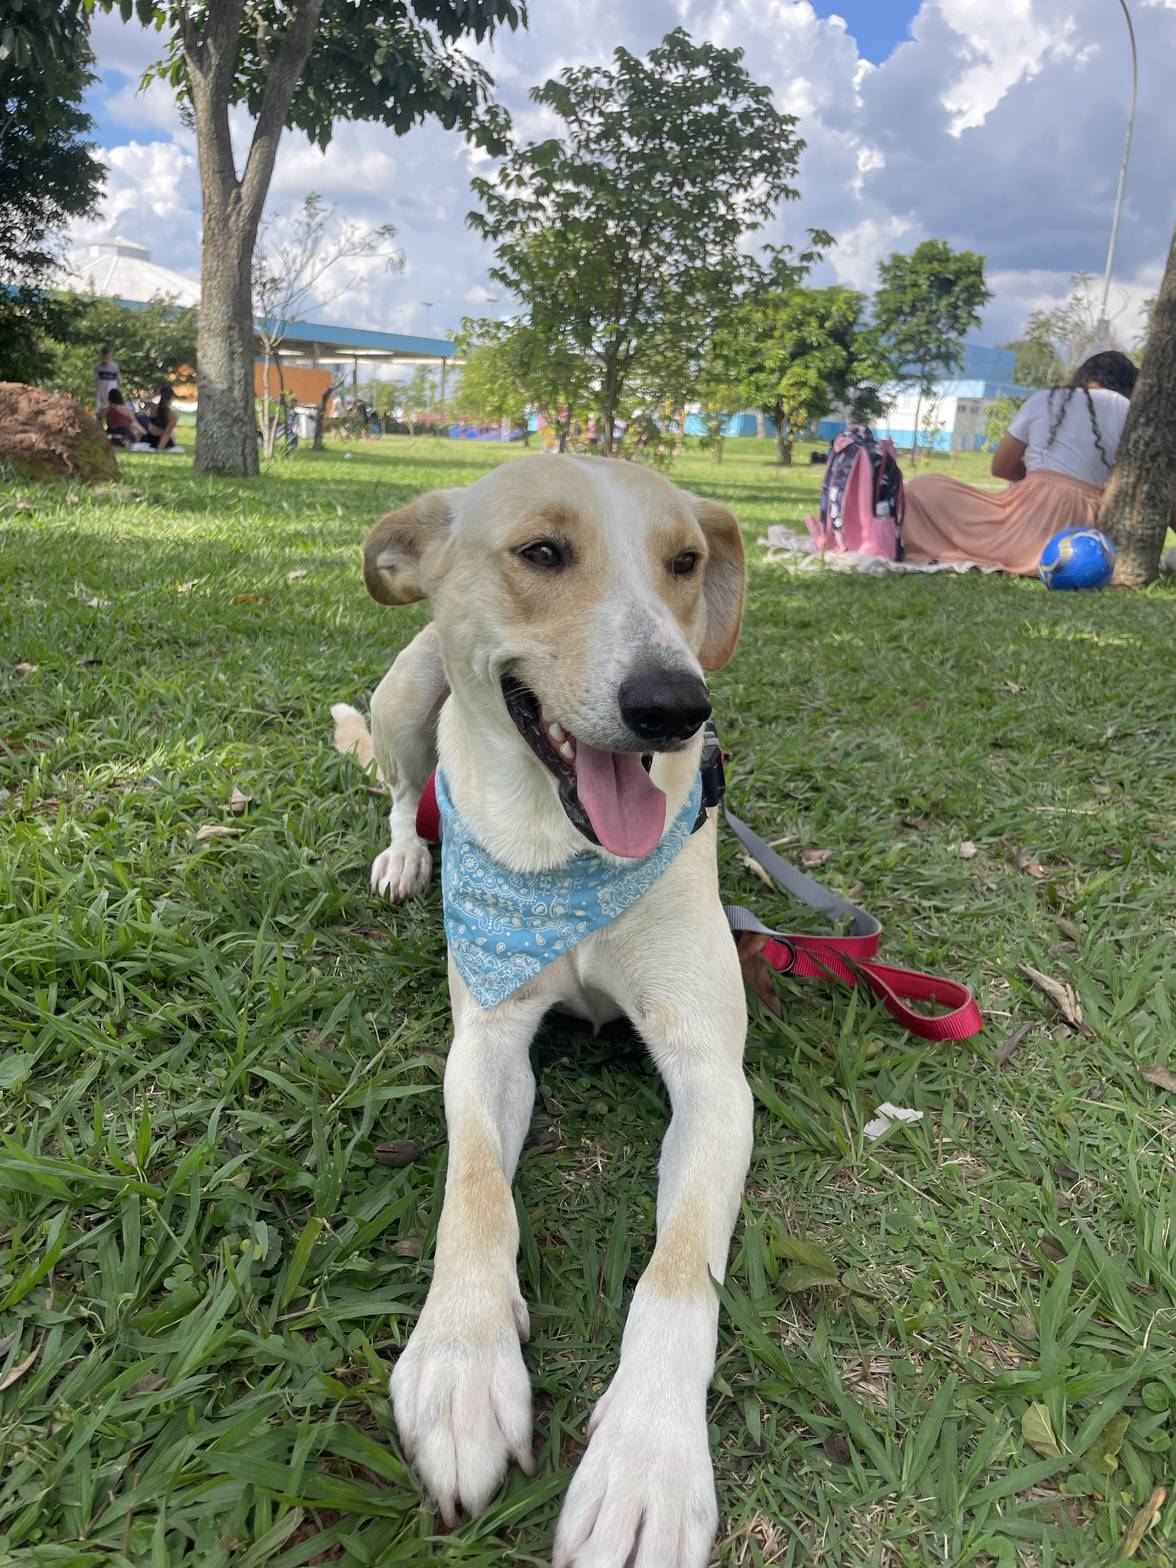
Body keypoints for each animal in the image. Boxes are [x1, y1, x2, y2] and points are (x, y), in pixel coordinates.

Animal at [333, 453, 751, 1567]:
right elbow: (476, 1189)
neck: (563, 856)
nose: (673, 705)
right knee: (402, 790)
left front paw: (648, 1462)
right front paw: (462, 1361)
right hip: (405, 694)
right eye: (544, 552)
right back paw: (406, 854)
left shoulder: (715, 1077)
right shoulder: (486, 1034)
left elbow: (680, 1267)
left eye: (684, 563)